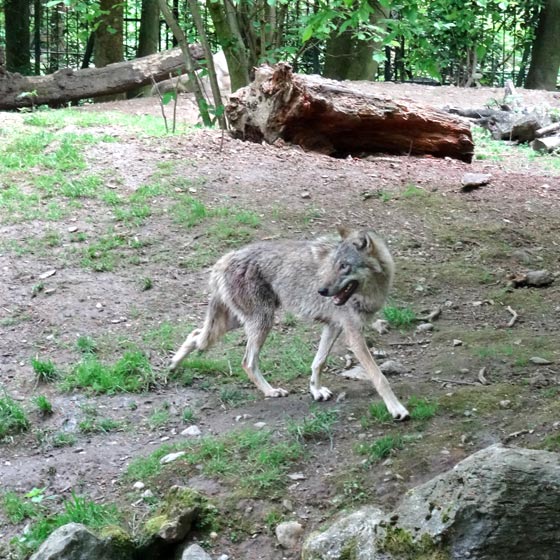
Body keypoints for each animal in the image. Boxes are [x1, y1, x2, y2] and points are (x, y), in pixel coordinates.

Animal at [171, 228, 412, 420]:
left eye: (344, 266)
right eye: (333, 266)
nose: (321, 291)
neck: (371, 291)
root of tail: (223, 260)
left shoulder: (334, 326)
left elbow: (318, 362)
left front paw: (315, 391)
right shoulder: (353, 334)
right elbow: (379, 377)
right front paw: (397, 409)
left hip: (237, 323)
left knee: (195, 334)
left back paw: (173, 365)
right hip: (262, 322)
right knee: (247, 362)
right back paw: (271, 391)